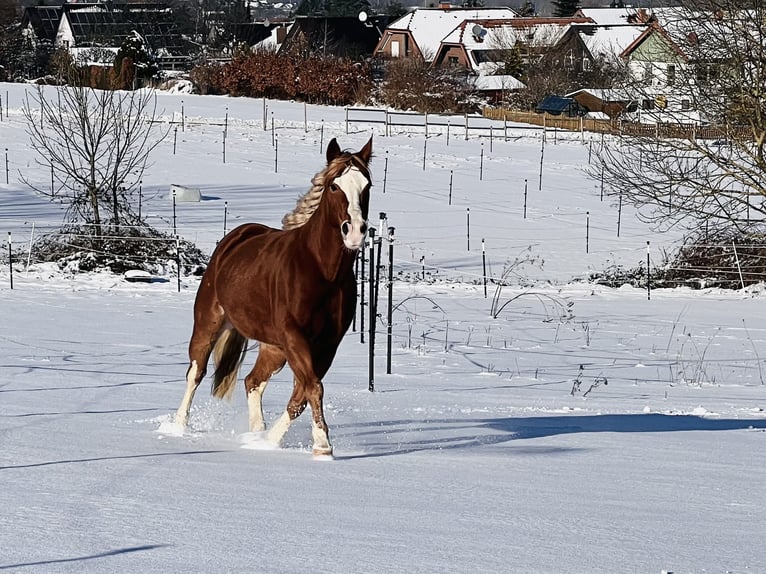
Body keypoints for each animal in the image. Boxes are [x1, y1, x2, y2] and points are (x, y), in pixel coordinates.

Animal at [175, 138, 378, 460]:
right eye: (334, 186)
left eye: (366, 185)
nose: (356, 232)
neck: (322, 272)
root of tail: (236, 237)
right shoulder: (295, 336)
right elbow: (313, 387)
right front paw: (323, 445)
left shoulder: (326, 344)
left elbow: (303, 394)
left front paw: (272, 441)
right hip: (210, 323)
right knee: (196, 372)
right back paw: (177, 427)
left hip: (274, 348)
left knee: (252, 381)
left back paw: (257, 434)